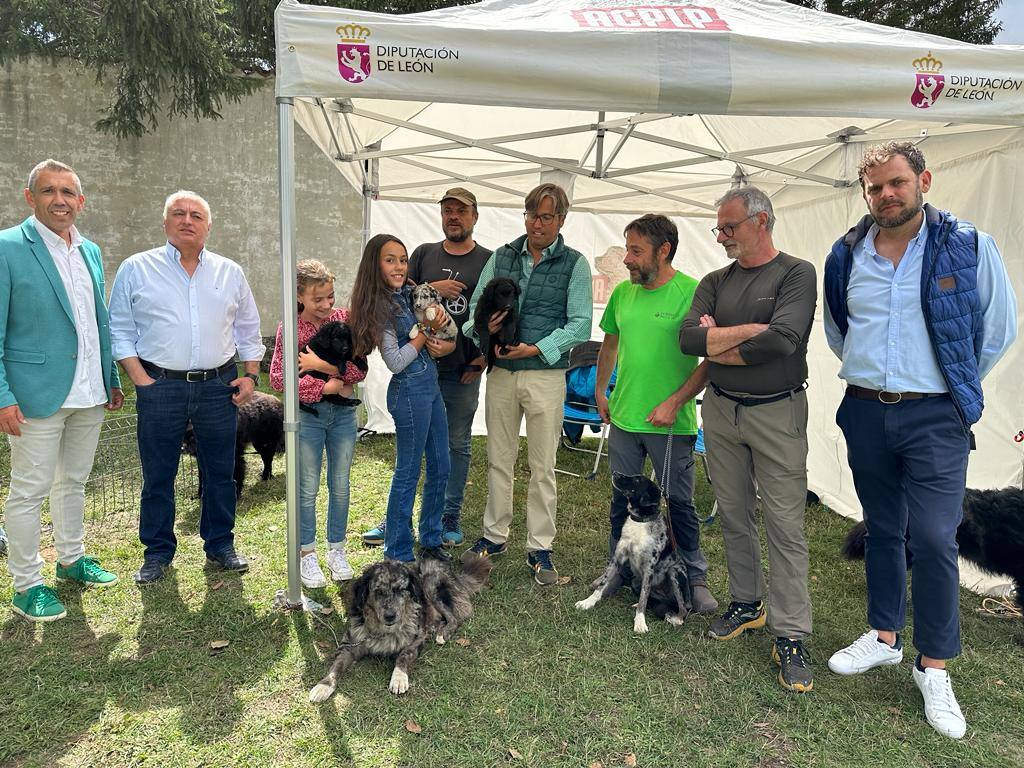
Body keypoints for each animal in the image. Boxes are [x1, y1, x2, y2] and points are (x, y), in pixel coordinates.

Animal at [573, 475, 692, 630]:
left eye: (637, 480)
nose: (616, 474)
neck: (640, 522)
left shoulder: (649, 569)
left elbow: (643, 597)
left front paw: (640, 622)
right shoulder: (617, 558)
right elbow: (602, 584)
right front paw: (588, 602)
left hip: (674, 574)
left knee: (682, 608)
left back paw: (676, 619)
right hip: (636, 581)